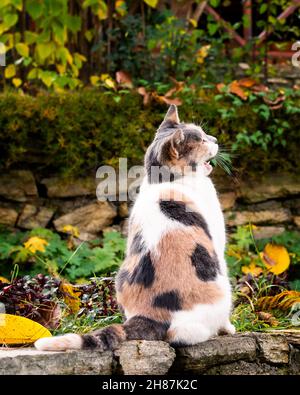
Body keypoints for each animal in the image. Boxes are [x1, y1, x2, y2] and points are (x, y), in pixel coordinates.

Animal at [35, 105, 236, 352]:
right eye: (201, 139)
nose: (215, 139)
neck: (162, 181)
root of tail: (148, 315)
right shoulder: (218, 243)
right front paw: (230, 328)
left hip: (119, 277)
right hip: (221, 285)